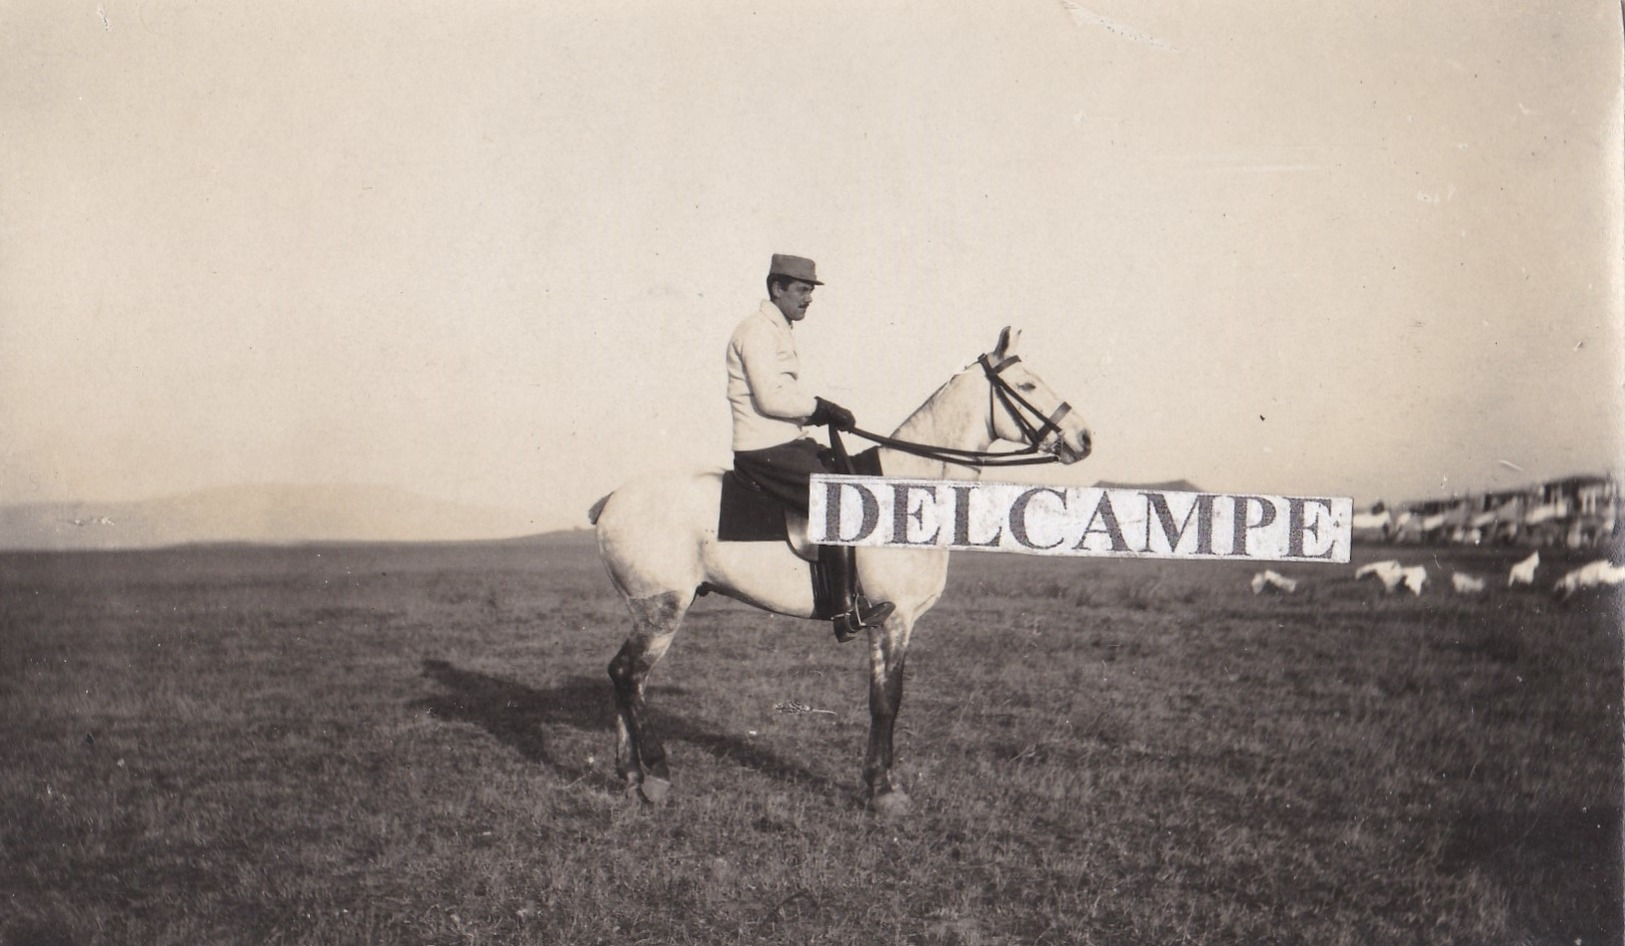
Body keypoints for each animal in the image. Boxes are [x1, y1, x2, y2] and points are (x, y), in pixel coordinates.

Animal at [585, 329, 1092, 819]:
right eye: (1027, 385)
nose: (1084, 437)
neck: (907, 491)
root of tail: (610, 500)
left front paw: (879, 785)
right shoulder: (892, 620)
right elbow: (886, 701)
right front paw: (884, 792)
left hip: (651, 612)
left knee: (627, 679)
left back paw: (631, 776)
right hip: (662, 610)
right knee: (628, 674)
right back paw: (656, 774)